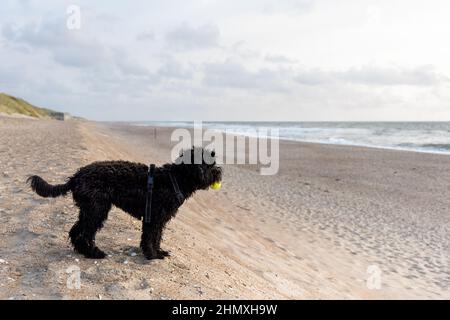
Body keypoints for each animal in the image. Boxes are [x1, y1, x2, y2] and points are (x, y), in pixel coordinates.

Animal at [27, 148, 221, 260]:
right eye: (209, 164)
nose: (219, 171)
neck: (175, 178)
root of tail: (76, 176)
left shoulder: (158, 220)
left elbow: (156, 237)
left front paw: (158, 252)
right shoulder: (154, 218)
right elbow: (151, 237)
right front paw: (152, 255)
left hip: (89, 209)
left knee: (76, 231)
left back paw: (84, 251)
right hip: (97, 209)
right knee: (83, 233)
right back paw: (93, 253)